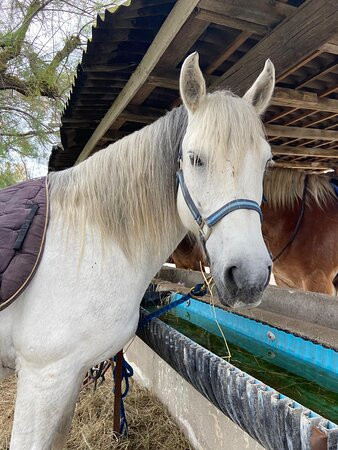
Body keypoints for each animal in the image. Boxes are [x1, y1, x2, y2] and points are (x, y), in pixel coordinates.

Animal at [0, 52, 274, 446]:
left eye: (267, 162)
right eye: (195, 159)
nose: (250, 278)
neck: (92, 240)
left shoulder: (65, 380)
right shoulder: (43, 378)